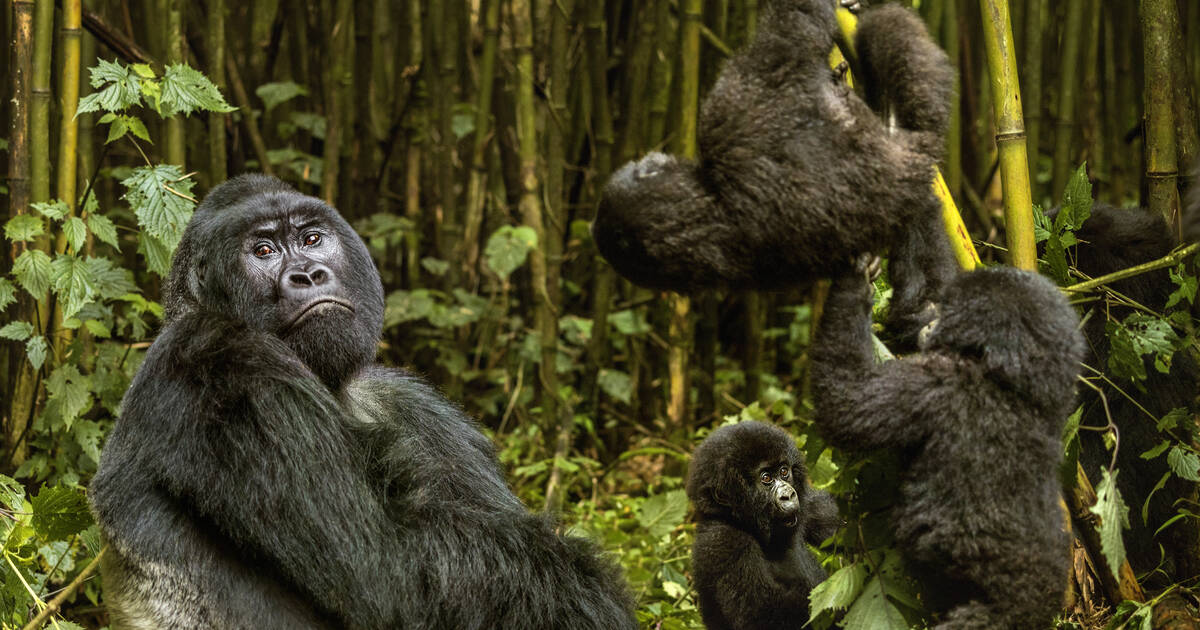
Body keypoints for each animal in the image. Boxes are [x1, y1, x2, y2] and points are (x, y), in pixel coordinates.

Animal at [90, 172, 638, 628]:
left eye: (312, 239)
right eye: (263, 250)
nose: (308, 274)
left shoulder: (412, 403)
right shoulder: (222, 362)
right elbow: (389, 573)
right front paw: (590, 589)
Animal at [686, 417, 844, 628]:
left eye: (784, 471)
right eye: (766, 478)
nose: (789, 495)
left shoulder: (807, 503)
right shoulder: (724, 541)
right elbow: (764, 614)